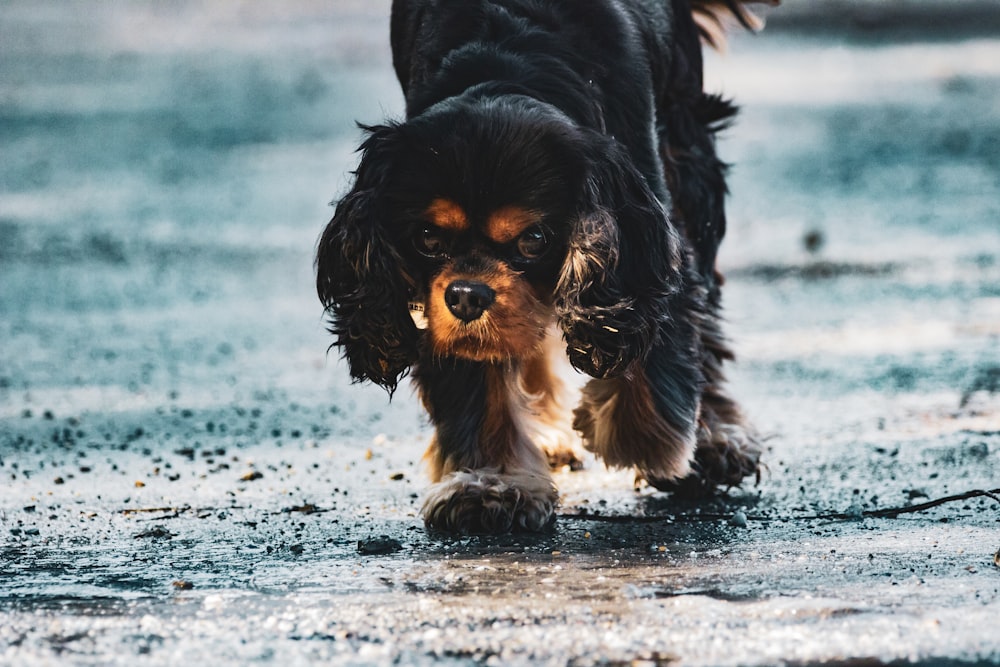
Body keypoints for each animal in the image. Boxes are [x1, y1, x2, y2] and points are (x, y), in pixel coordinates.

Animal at [316, 0, 768, 536]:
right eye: (427, 237)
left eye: (534, 240)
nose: (466, 297)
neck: (508, 61)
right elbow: (481, 376)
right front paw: (490, 485)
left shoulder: (645, 231)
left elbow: (660, 335)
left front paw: (640, 437)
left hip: (689, 156)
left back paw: (716, 442)